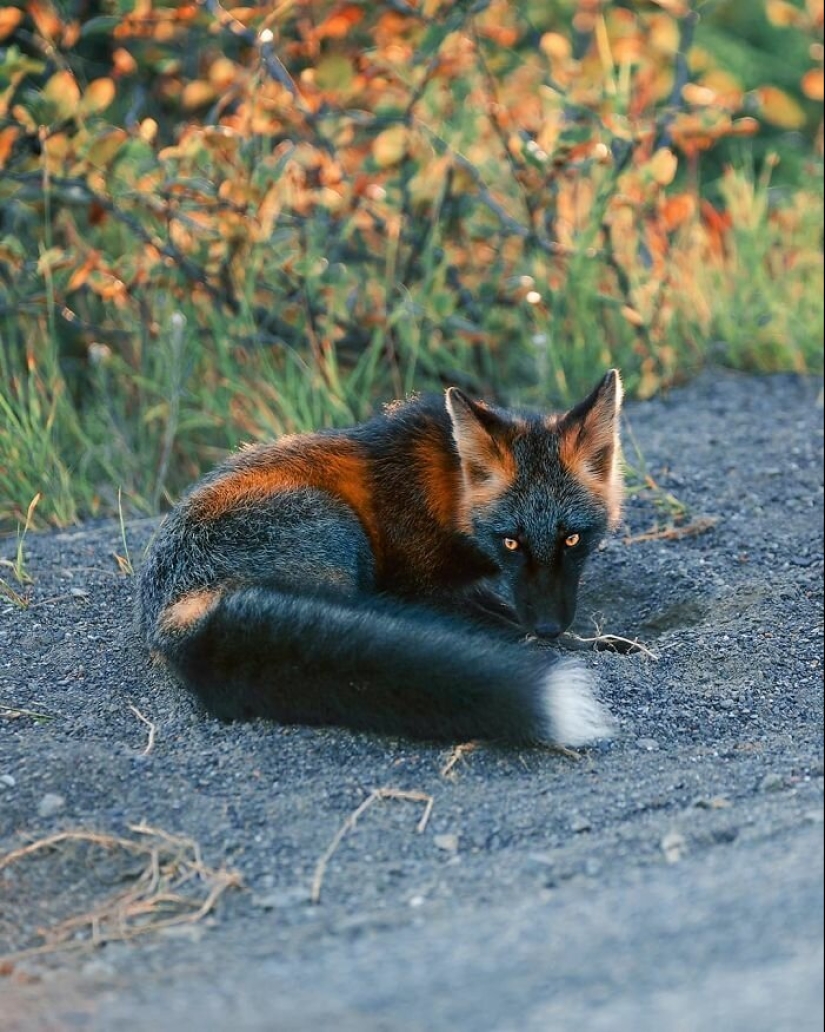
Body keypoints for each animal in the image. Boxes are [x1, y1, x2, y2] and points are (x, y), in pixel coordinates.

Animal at [137, 369, 624, 747]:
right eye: (510, 543)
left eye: (573, 540)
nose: (548, 626)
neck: (443, 490)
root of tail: (175, 614)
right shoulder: (417, 587)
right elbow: (502, 620)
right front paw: (581, 643)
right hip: (338, 530)